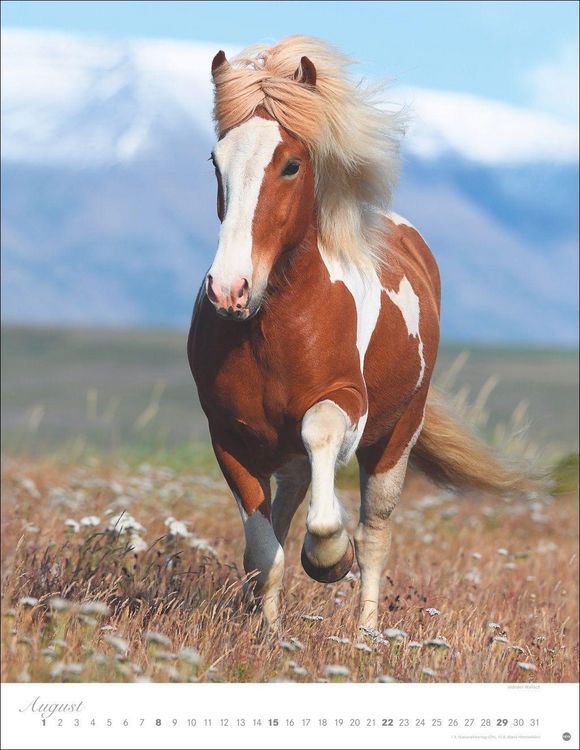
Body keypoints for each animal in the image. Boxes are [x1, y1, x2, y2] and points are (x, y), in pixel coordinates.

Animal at [188, 36, 529, 632]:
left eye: (291, 164)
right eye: (215, 161)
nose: (229, 290)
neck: (271, 329)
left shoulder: (346, 402)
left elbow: (322, 446)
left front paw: (328, 557)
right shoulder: (228, 435)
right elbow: (262, 548)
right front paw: (266, 628)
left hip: (397, 440)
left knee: (375, 534)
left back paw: (367, 629)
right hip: (286, 454)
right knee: (285, 513)